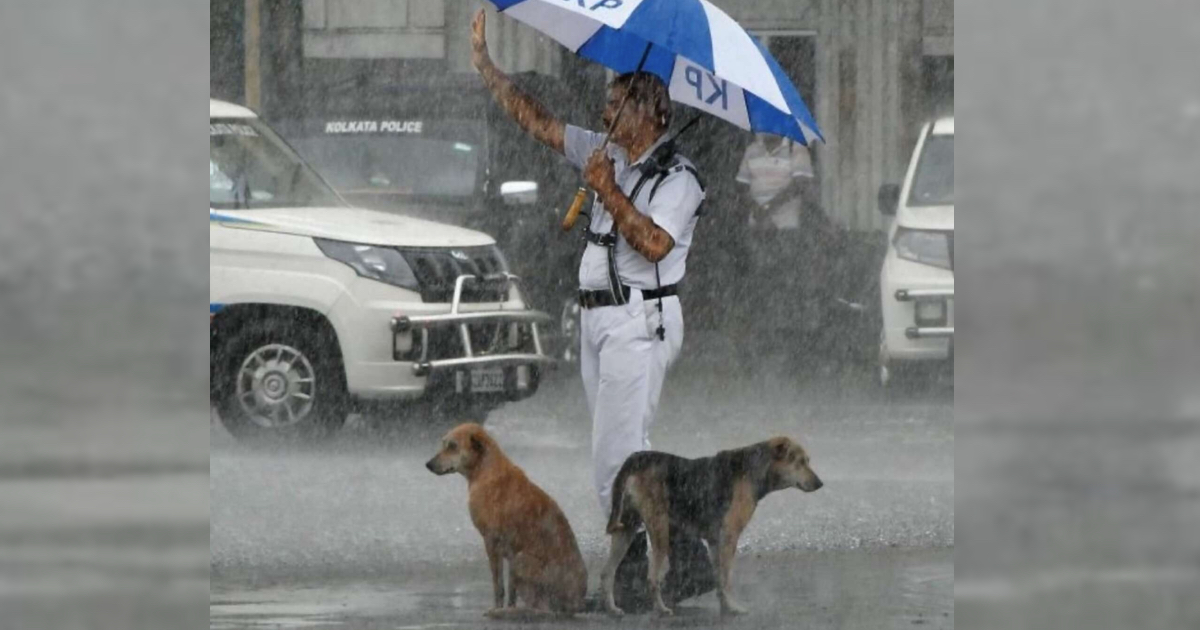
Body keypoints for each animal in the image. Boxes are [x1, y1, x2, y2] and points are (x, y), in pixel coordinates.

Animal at [424, 420, 588, 614]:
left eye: (453, 446)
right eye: (444, 444)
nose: (428, 464)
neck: (485, 469)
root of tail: (576, 603)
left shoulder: (491, 542)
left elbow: (498, 585)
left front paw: (497, 608)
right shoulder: (508, 552)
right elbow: (511, 590)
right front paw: (507, 607)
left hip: (520, 560)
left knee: (542, 606)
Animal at [600, 434, 825, 614]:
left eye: (808, 461)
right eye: (799, 462)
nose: (820, 484)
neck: (755, 469)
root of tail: (636, 458)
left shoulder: (716, 542)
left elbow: (719, 579)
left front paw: (725, 607)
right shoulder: (729, 537)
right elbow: (726, 578)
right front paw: (734, 608)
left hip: (626, 528)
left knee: (607, 573)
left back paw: (612, 609)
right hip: (660, 529)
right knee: (652, 578)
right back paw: (662, 609)